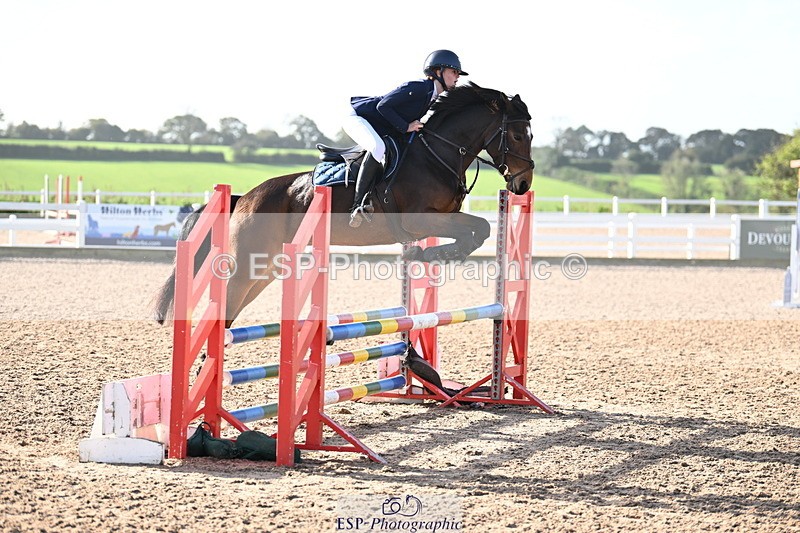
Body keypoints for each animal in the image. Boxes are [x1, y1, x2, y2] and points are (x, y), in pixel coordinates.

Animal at [152, 82, 535, 327]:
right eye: (517, 135)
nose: (523, 184)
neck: (437, 153)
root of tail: (245, 197)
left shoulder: (445, 216)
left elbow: (478, 230)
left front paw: (429, 255)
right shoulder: (421, 220)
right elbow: (479, 229)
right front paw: (427, 254)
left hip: (267, 267)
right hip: (249, 261)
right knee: (226, 302)